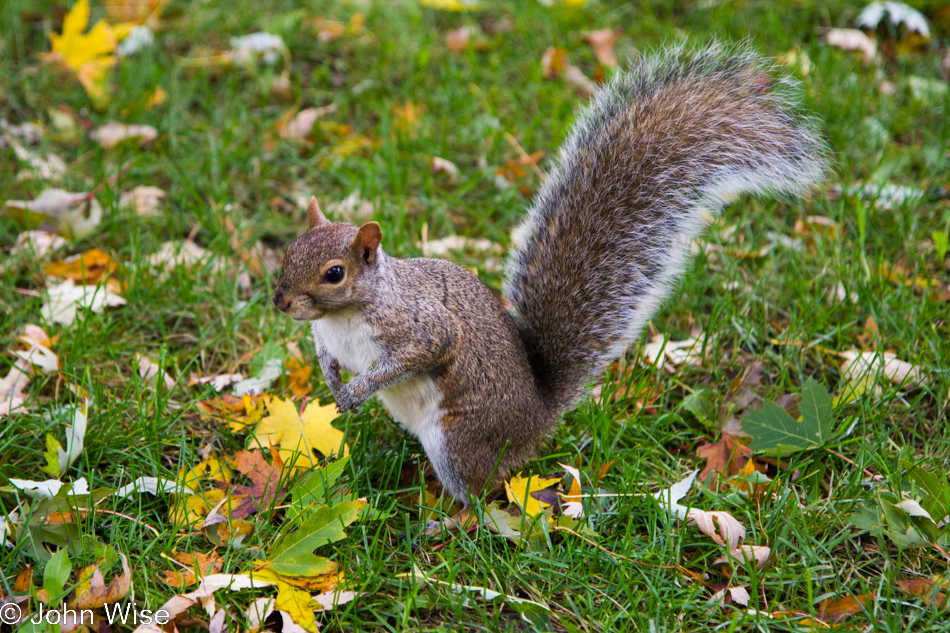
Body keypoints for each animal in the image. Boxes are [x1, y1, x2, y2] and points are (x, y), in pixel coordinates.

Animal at [272, 43, 828, 504]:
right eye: (288, 251)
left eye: (335, 273)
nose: (280, 302)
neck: (344, 317)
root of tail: (536, 421)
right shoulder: (329, 336)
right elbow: (326, 357)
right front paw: (332, 380)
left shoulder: (420, 327)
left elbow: (410, 357)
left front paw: (357, 390)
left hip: (459, 441)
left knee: (481, 494)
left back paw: (448, 521)